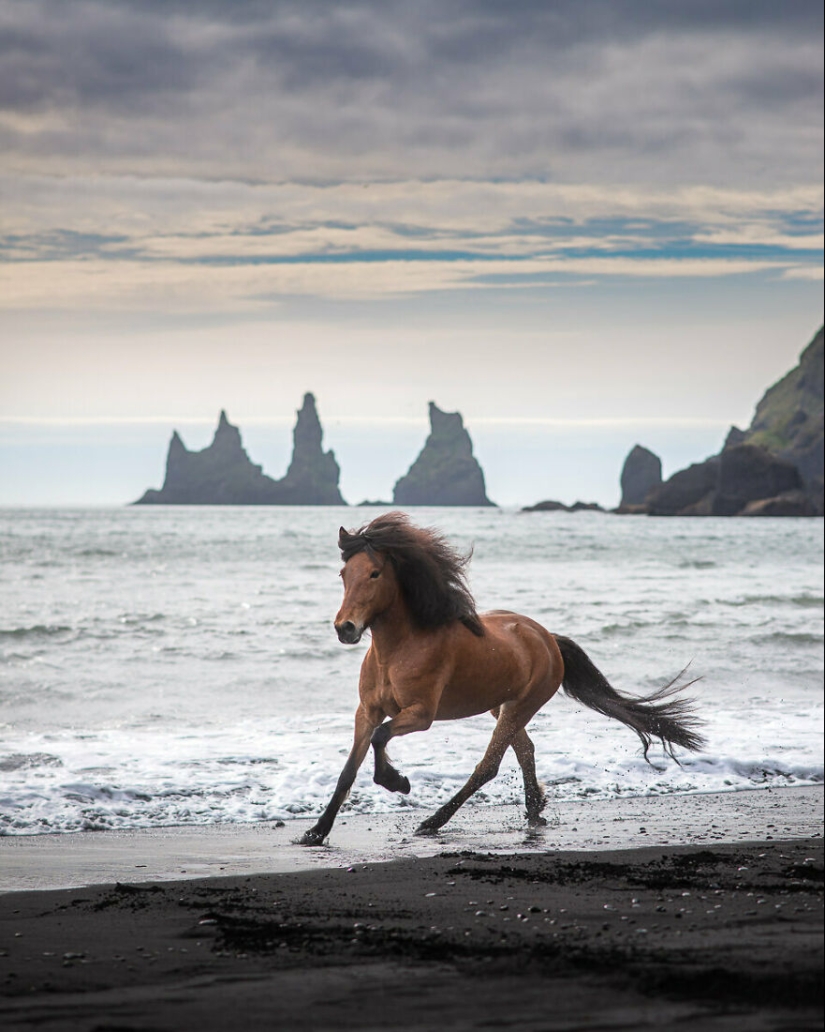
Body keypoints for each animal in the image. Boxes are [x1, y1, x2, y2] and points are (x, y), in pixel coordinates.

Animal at [299, 512, 705, 845]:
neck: (399, 649)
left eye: (375, 573)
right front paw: (316, 832)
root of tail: (547, 637)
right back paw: (535, 809)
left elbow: (381, 738)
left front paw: (397, 782)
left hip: (522, 705)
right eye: (343, 574)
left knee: (488, 766)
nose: (345, 628)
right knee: (525, 750)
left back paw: (433, 822)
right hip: (502, 706)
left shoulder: (421, 713)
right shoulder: (366, 711)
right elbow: (349, 770)